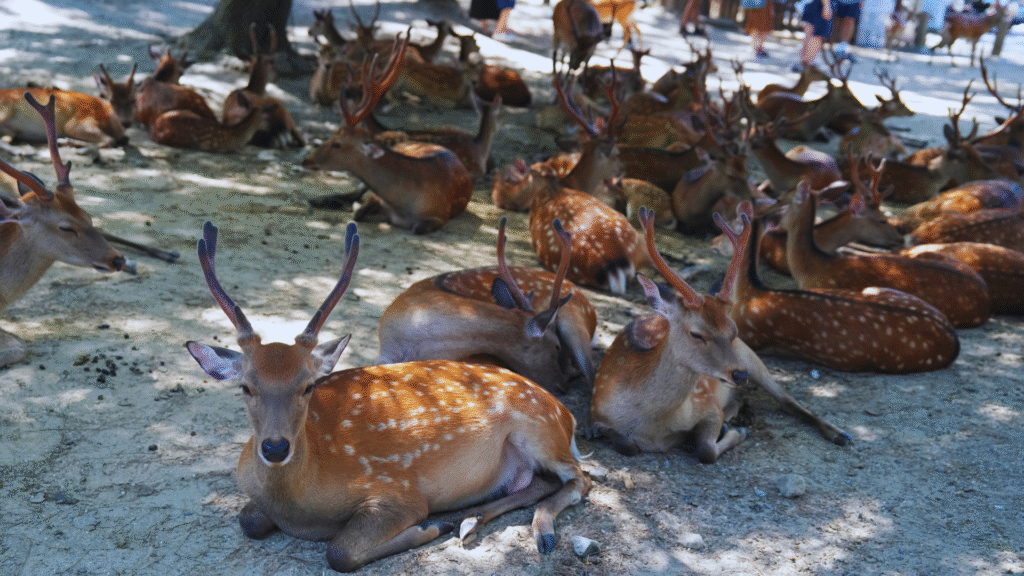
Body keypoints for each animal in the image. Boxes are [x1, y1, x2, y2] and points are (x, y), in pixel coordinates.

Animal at [302, 36, 473, 234]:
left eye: (336, 144)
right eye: (330, 136)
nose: (306, 160)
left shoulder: (440, 215)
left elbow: (417, 228)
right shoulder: (376, 197)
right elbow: (358, 212)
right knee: (353, 193)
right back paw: (318, 200)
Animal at [588, 206, 851, 462]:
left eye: (733, 330)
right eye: (696, 334)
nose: (740, 374)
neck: (652, 426)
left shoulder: (708, 406)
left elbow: (706, 450)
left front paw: (736, 433)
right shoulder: (598, 414)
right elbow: (625, 444)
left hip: (752, 358)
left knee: (787, 400)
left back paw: (841, 434)